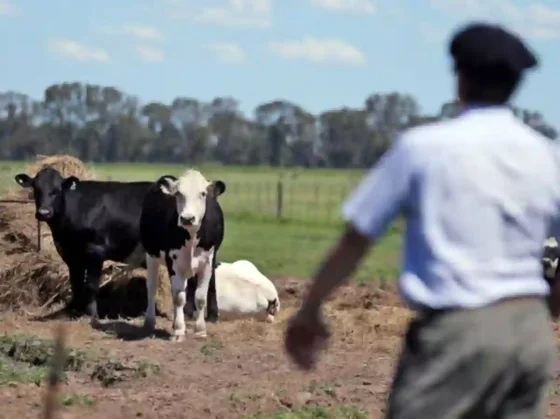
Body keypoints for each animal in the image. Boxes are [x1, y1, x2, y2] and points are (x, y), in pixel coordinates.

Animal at [14, 167, 153, 322]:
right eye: (36, 189)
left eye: (56, 190)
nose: (44, 213)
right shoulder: (71, 254)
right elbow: (76, 283)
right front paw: (75, 312)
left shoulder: (95, 250)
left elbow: (91, 285)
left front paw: (91, 315)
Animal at [140, 168, 225, 342]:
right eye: (178, 194)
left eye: (202, 193)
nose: (187, 218)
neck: (191, 237)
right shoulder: (173, 262)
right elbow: (179, 297)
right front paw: (179, 330)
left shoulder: (207, 262)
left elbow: (200, 296)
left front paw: (200, 330)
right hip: (151, 256)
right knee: (152, 288)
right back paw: (150, 322)